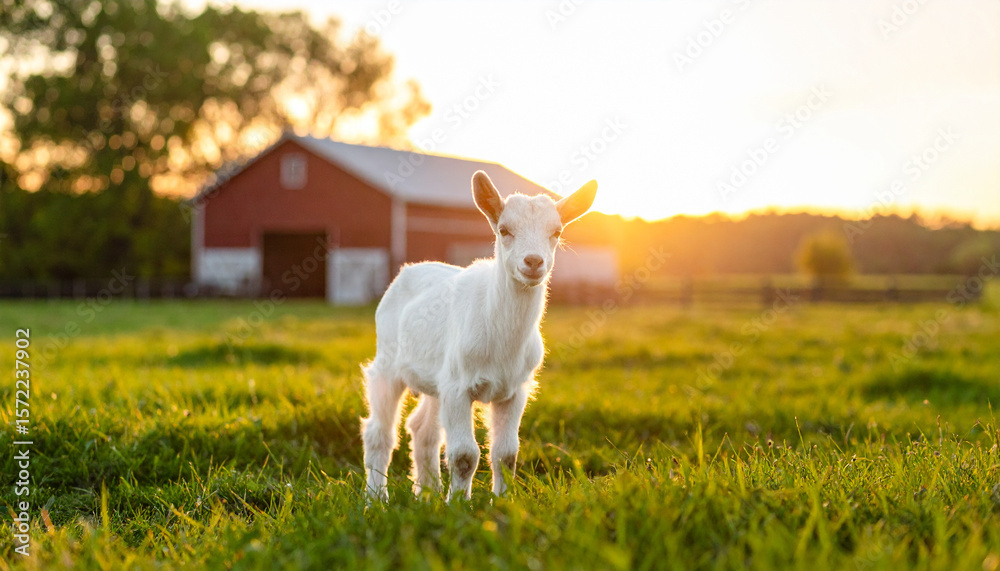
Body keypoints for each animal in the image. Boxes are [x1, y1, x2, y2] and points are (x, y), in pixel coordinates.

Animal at [360, 170, 597, 502]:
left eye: (557, 231)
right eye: (504, 230)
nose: (533, 262)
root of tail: (408, 270)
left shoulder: (514, 389)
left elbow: (506, 453)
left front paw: (503, 501)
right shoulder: (458, 386)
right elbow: (464, 455)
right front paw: (458, 505)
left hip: (435, 378)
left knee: (423, 430)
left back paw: (427, 495)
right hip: (388, 362)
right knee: (379, 432)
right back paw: (376, 499)